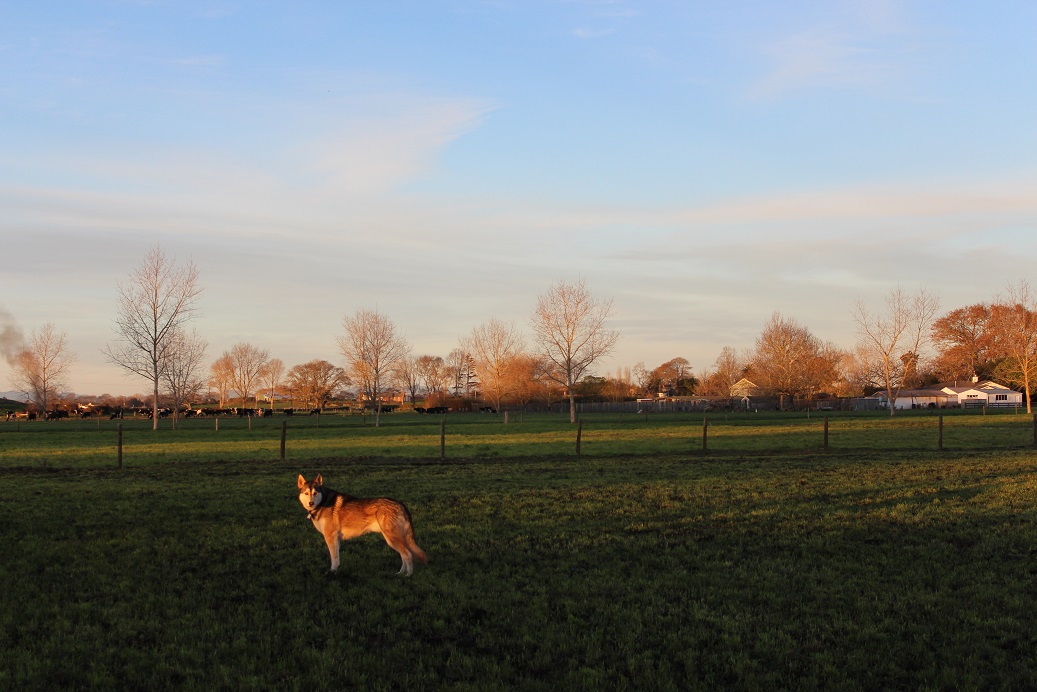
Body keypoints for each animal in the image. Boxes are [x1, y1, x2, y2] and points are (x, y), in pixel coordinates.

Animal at [298, 473, 427, 576]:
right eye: (306, 493)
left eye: (315, 493)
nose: (310, 503)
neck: (323, 502)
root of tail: (400, 504)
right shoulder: (336, 539)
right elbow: (337, 558)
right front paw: (337, 570)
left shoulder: (330, 537)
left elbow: (333, 559)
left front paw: (332, 572)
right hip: (394, 539)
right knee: (404, 556)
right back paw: (400, 573)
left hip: (392, 539)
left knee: (408, 555)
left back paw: (408, 575)